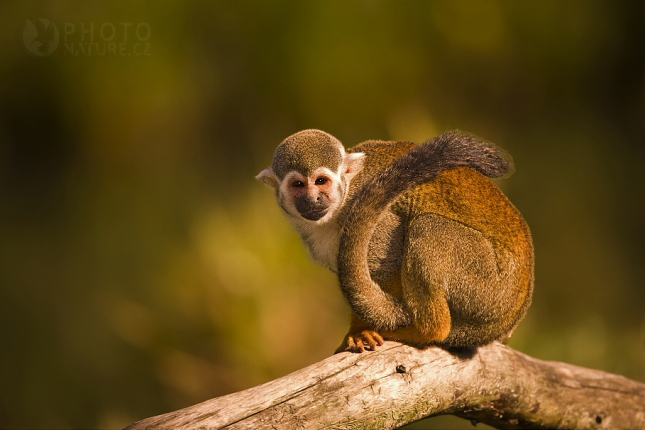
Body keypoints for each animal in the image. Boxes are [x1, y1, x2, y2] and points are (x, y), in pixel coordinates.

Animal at [256, 127, 532, 352]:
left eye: (321, 181)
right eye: (298, 185)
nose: (312, 199)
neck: (340, 203)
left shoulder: (373, 213)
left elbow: (387, 264)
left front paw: (359, 330)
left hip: (490, 289)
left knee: (428, 226)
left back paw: (428, 330)